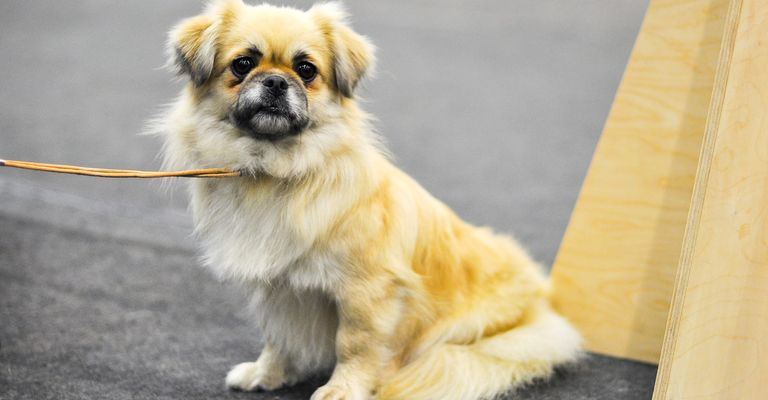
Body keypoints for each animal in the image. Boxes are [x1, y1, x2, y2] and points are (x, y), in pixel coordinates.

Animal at [158, 1, 584, 398]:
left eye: (306, 70)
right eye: (243, 64)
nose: (277, 82)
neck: (276, 169)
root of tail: (542, 307)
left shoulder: (367, 292)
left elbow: (356, 345)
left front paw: (343, 389)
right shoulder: (278, 289)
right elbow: (279, 337)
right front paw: (268, 374)